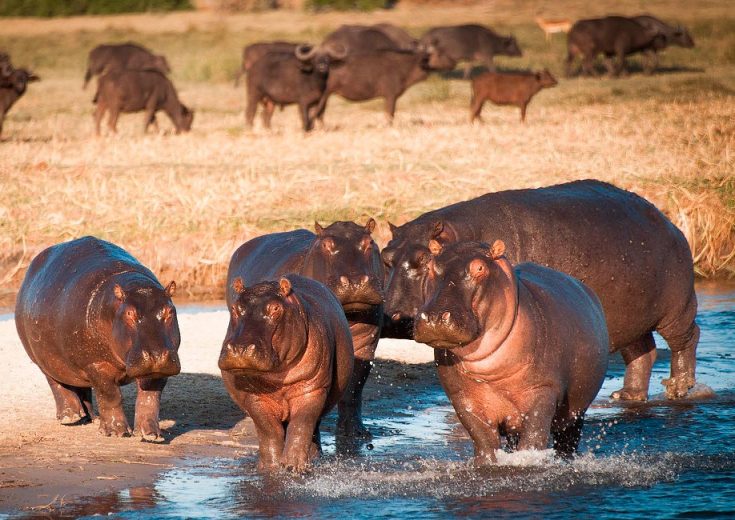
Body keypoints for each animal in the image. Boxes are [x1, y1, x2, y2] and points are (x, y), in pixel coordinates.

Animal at [16, 238, 180, 440]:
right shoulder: (96, 365)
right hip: (43, 359)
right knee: (57, 384)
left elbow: (150, 399)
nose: (156, 355)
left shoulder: (157, 370)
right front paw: (117, 432)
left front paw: (151, 435)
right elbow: (110, 395)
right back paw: (71, 418)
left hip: (74, 362)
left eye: (170, 311)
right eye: (129, 313)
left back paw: (90, 418)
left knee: (81, 386)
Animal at [218, 274, 354, 474]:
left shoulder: (311, 390)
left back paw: (313, 458)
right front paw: (271, 467)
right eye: (235, 308)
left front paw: (293, 466)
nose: (240, 348)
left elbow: (301, 425)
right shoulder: (255, 397)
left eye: (276, 308)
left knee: (313, 429)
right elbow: (269, 430)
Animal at [314, 46, 458, 124]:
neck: (404, 66)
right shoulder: (390, 96)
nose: (454, 62)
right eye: (439, 54)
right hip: (323, 96)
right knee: (317, 113)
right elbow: (390, 114)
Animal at [386, 181, 700, 404]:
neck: (465, 235)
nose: (393, 316)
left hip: (677, 308)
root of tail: (670, 223)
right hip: (631, 317)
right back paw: (626, 397)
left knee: (686, 338)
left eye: (424, 259)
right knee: (642, 351)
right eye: (387, 256)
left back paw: (678, 389)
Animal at [414, 240, 608, 464]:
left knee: (567, 440)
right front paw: (486, 464)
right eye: (429, 266)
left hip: (575, 411)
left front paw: (528, 462)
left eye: (480, 268)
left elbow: (534, 437)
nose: (435, 317)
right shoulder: (464, 399)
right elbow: (484, 441)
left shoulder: (543, 390)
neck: (489, 372)